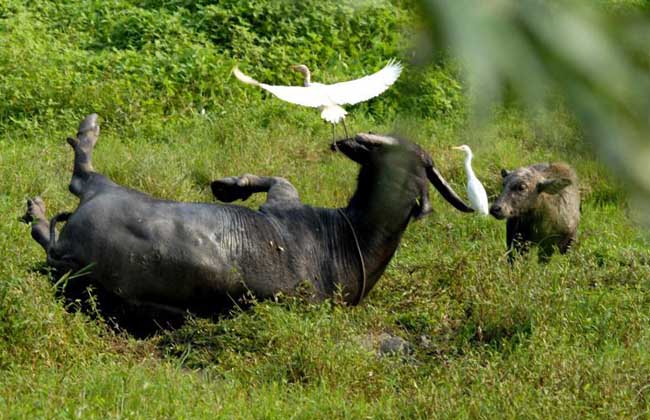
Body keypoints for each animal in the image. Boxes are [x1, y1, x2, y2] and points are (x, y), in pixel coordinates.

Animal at [24, 114, 470, 332]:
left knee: (74, 188)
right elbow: (276, 178)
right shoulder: (283, 200)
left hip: (96, 214)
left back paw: (41, 206)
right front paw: (227, 186)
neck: (351, 237)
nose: (356, 138)